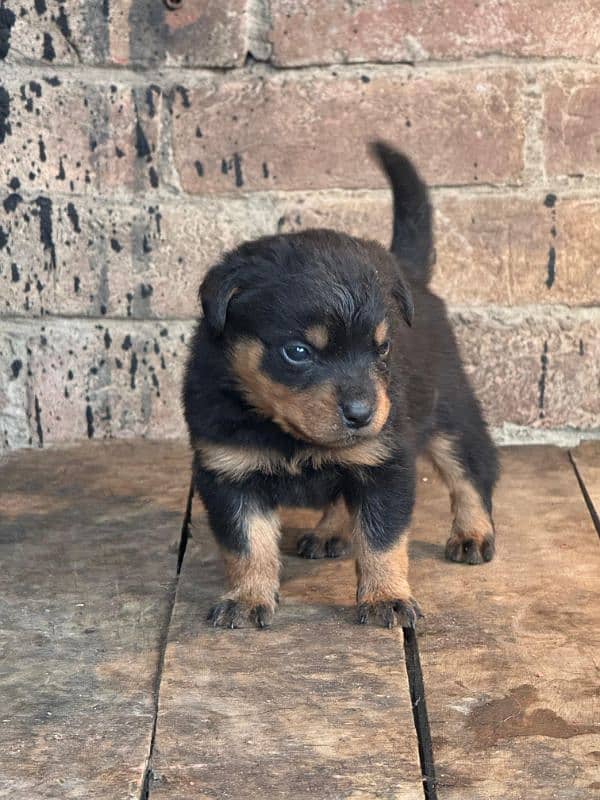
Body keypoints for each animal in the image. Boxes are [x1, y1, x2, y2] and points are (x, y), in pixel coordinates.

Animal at [182, 144, 496, 632]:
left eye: (382, 347)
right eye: (297, 352)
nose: (363, 414)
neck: (287, 433)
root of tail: (410, 273)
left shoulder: (386, 462)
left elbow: (382, 539)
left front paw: (386, 597)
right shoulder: (228, 471)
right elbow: (247, 543)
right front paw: (247, 598)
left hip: (450, 411)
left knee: (470, 472)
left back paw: (472, 533)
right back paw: (329, 531)